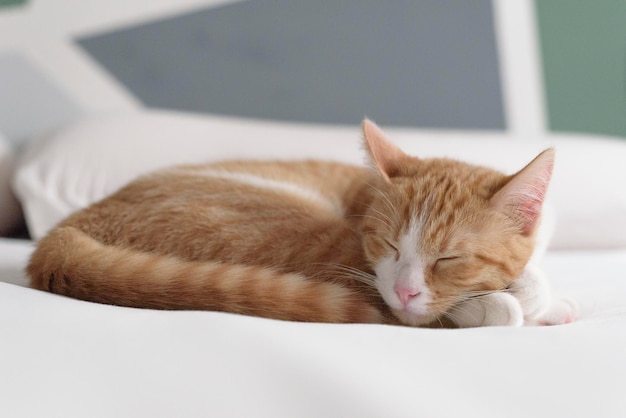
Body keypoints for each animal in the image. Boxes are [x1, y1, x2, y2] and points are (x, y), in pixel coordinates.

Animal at [26, 119, 572, 328]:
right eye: (388, 245)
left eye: (449, 257)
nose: (406, 288)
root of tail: (61, 232)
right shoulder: (364, 267)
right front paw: (509, 301)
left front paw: (544, 298)